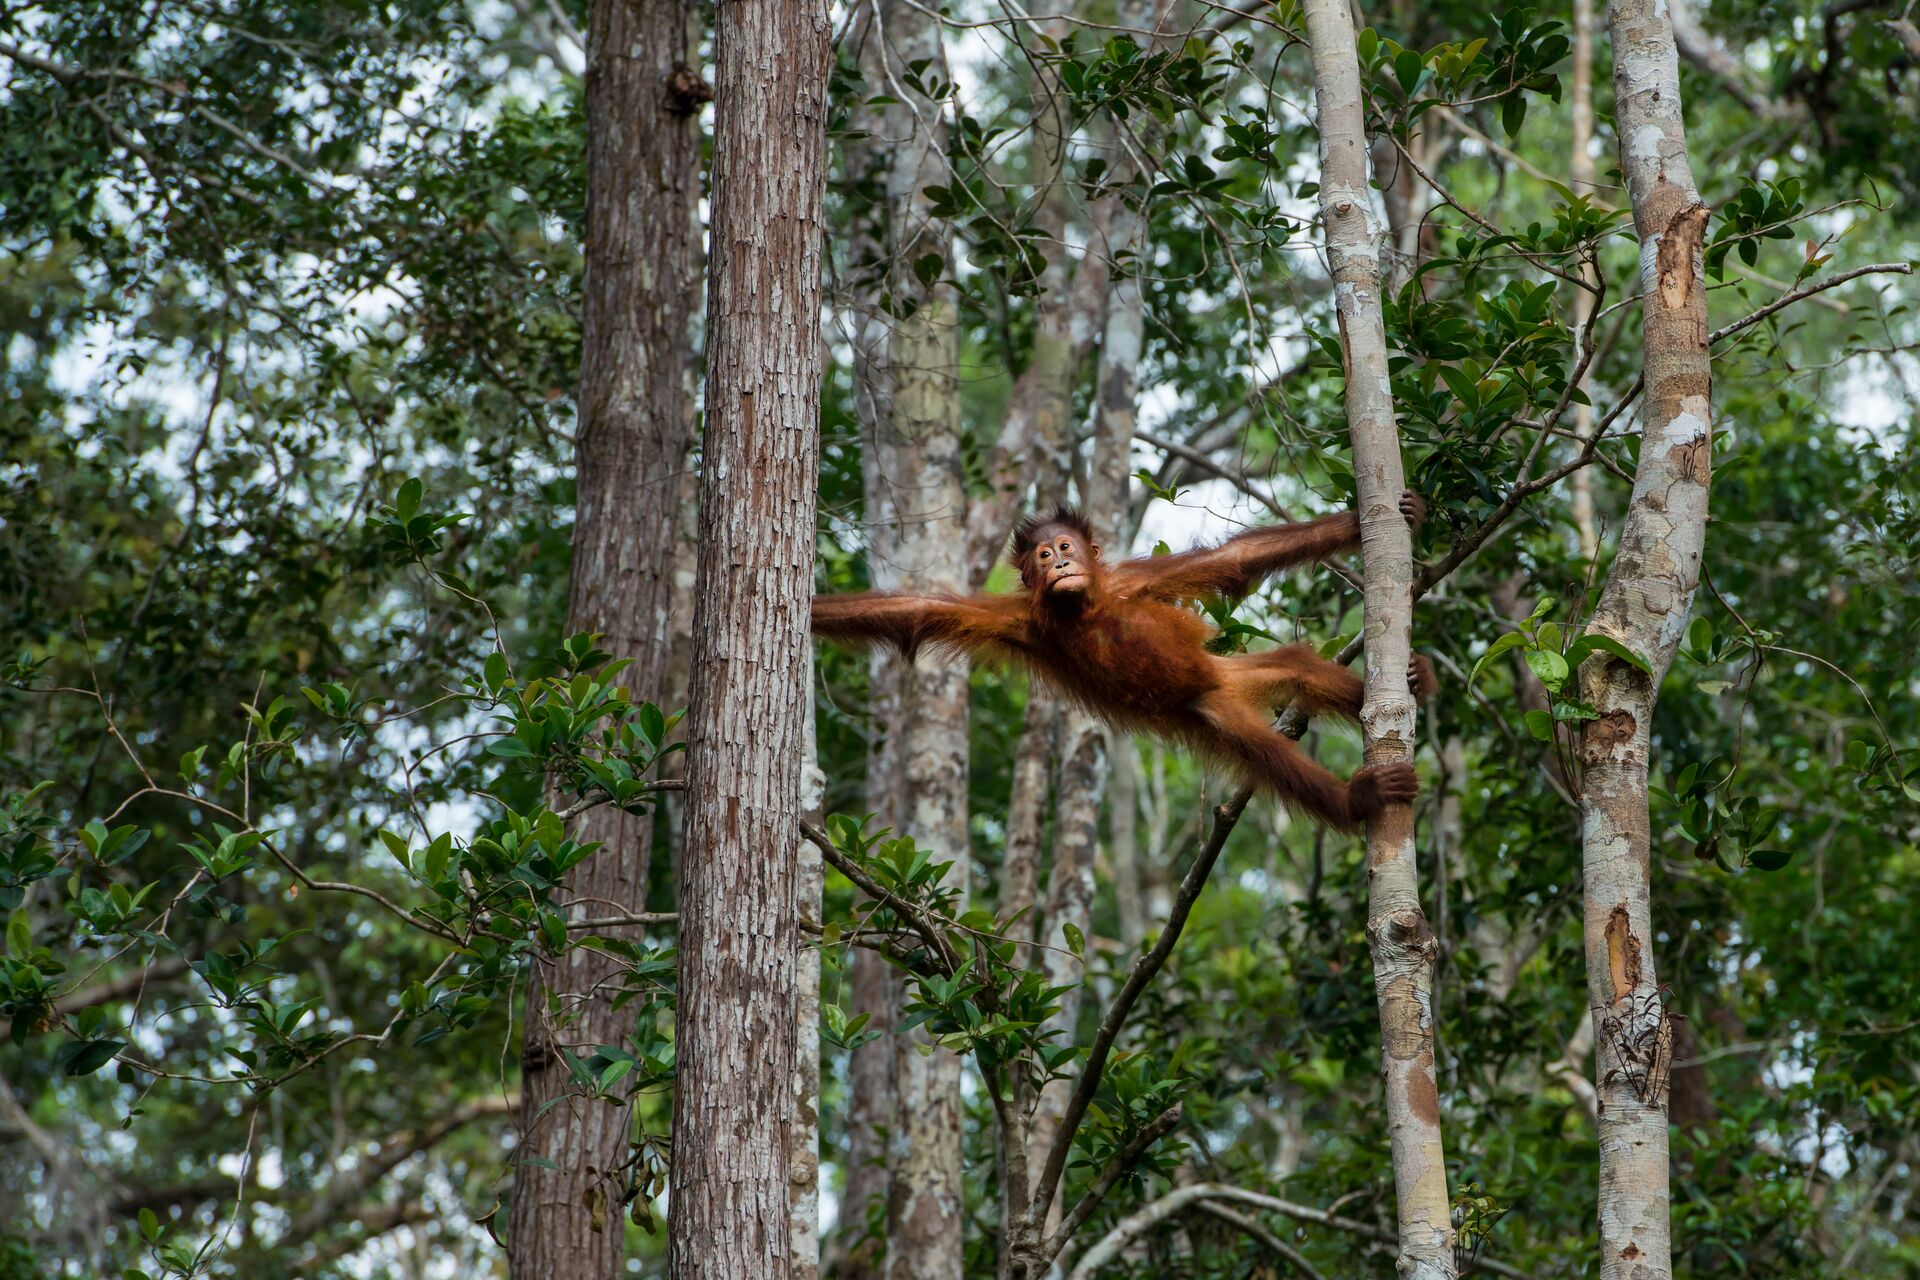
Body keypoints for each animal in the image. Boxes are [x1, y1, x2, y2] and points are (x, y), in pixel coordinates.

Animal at [812, 495, 1435, 830]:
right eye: (1043, 556)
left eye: (1066, 548)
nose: (1061, 565)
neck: (1084, 610)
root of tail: (1219, 685)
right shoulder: (1016, 621)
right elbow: (915, 609)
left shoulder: (1138, 583)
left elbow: (1233, 559)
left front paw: (1362, 522)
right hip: (1213, 710)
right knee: (1269, 749)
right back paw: (1360, 798)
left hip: (1223, 676)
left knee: (1301, 668)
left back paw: (1409, 683)